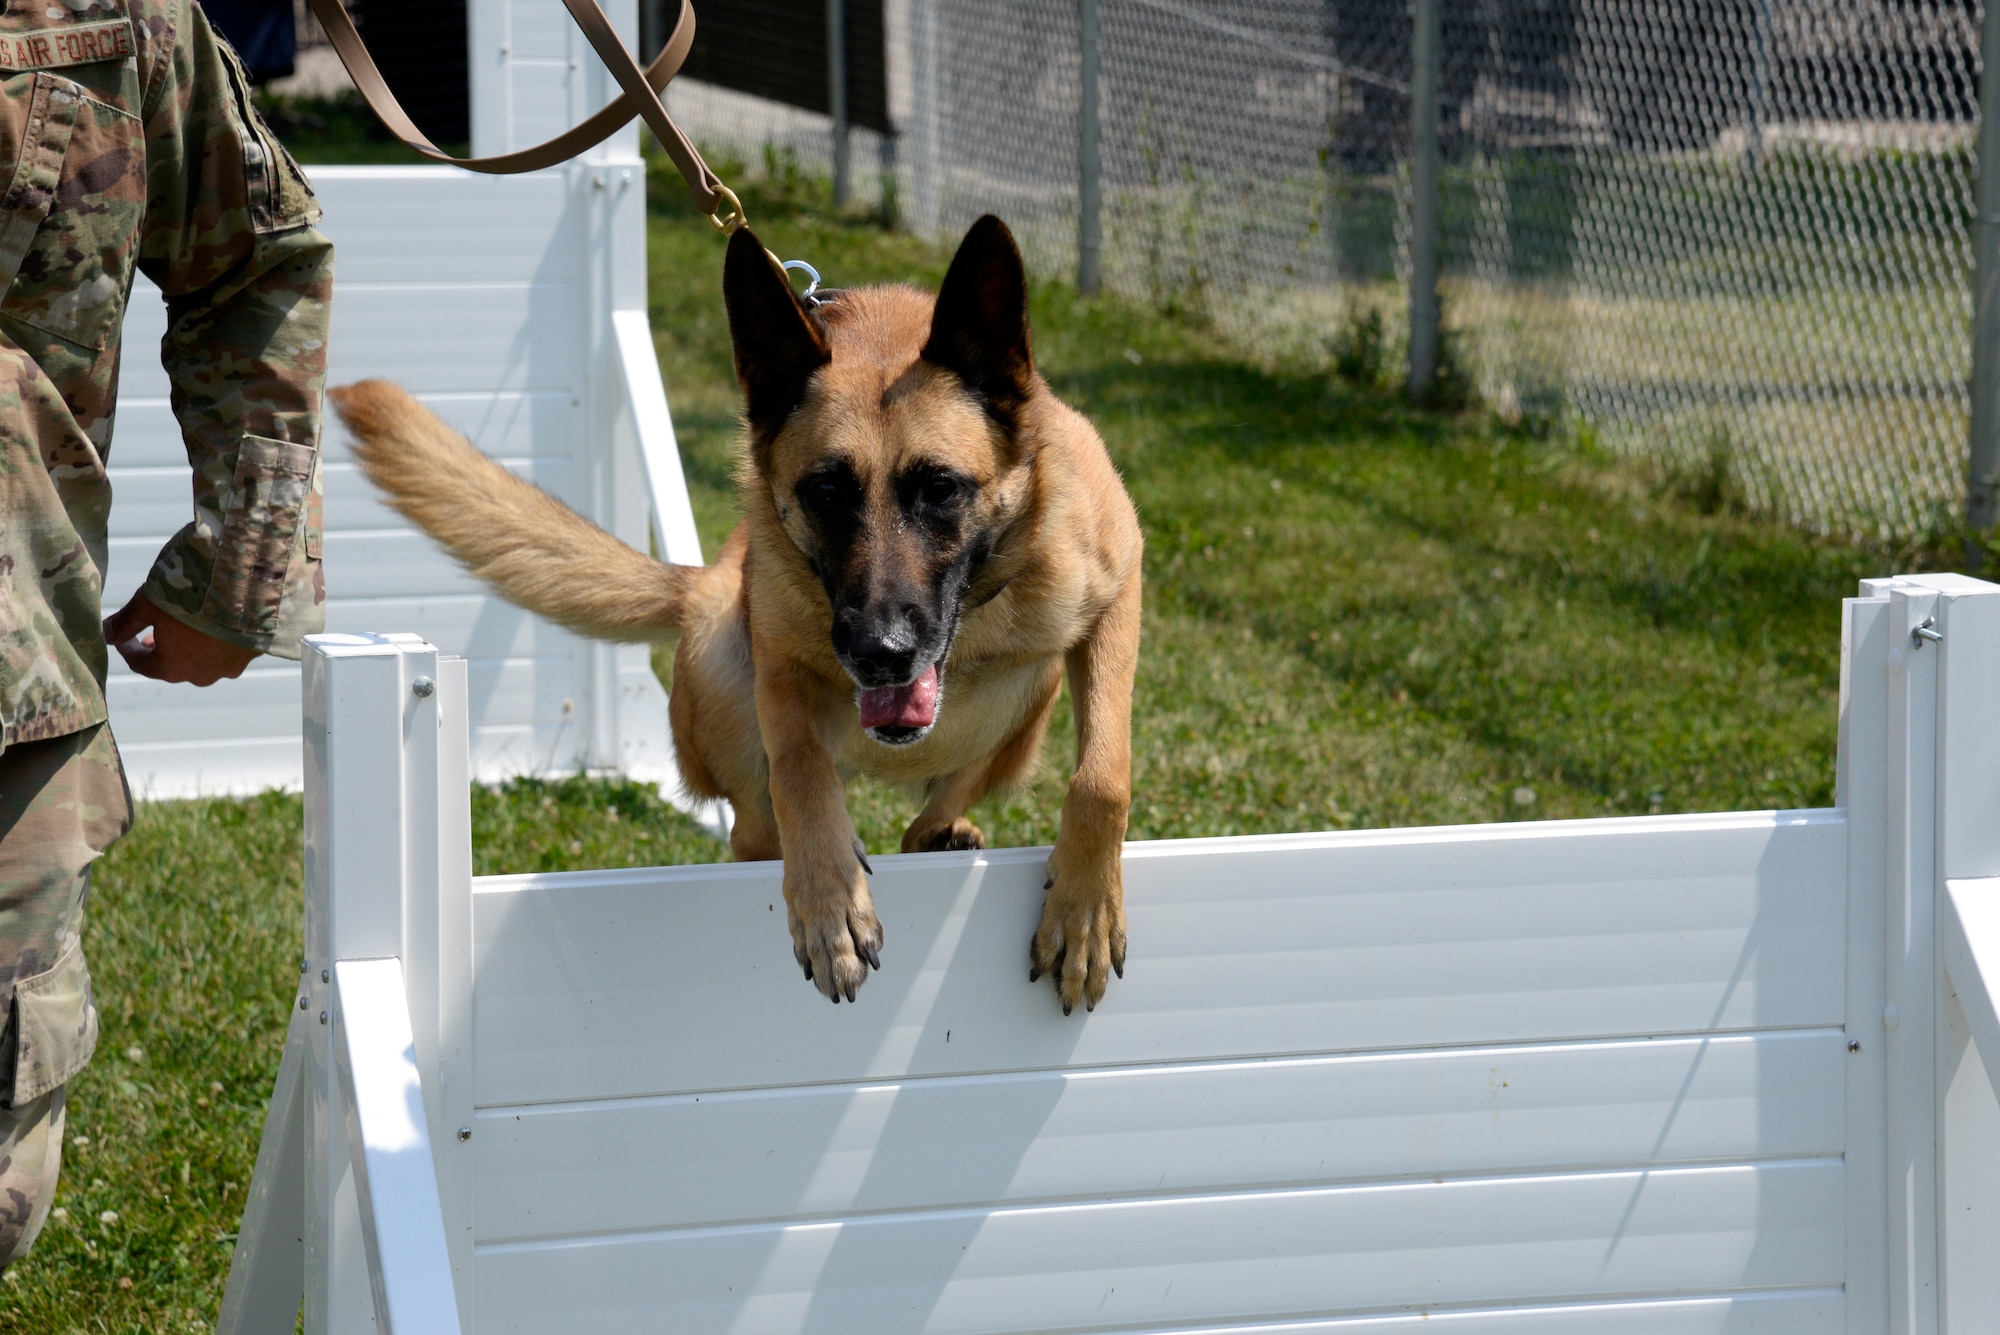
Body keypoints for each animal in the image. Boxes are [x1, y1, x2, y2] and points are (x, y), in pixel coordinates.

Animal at [332, 216, 1144, 1011]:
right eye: (826, 491)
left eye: (941, 488)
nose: (880, 652)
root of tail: (697, 584)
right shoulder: (777, 656)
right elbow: (800, 771)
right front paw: (828, 900)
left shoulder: (1117, 592)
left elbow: (1103, 774)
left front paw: (1083, 910)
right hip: (720, 644)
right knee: (753, 832)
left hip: (1032, 692)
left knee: (936, 808)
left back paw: (942, 834)